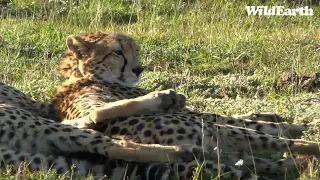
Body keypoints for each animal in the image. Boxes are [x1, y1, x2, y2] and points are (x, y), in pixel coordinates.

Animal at [47, 31, 320, 179]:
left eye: (135, 50)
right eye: (117, 52)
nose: (138, 69)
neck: (83, 77)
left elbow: (241, 115)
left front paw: (269, 114)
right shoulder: (200, 115)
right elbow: (240, 119)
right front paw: (296, 124)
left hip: (230, 154)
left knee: (273, 163)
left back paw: (302, 164)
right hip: (220, 138)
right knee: (285, 145)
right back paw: (310, 143)